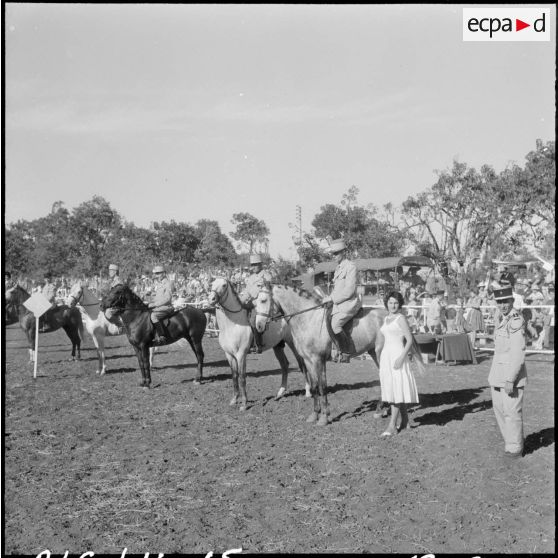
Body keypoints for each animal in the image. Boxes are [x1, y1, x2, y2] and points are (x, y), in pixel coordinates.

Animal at [207, 278, 312, 414]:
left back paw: (308, 391)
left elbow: (242, 377)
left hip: (293, 344)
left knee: (301, 364)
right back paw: (280, 393)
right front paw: (234, 400)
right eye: (212, 284)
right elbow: (234, 376)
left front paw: (244, 404)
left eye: (224, 285)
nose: (211, 299)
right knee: (284, 365)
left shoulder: (241, 355)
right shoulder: (229, 355)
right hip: (277, 347)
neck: (232, 325)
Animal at [254, 286, 424, 426]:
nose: (259, 326)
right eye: (255, 301)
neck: (308, 319)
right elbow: (314, 387)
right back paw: (382, 409)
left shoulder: (318, 360)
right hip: (373, 353)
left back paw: (383, 408)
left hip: (380, 352)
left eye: (263, 300)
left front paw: (324, 418)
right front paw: (314, 415)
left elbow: (322, 387)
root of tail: (392, 315)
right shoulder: (309, 360)